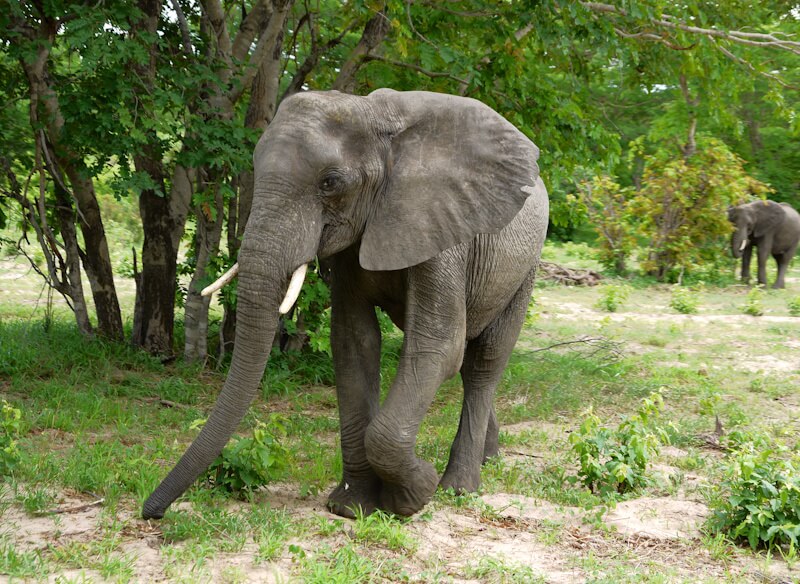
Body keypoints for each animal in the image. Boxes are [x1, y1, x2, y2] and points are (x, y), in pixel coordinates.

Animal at [141, 88, 549, 520]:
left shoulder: (439, 230)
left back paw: (459, 487)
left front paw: (415, 492)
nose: (152, 512)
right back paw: (490, 458)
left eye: (330, 183)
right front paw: (351, 507)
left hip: (528, 263)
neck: (373, 113)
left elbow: (437, 347)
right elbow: (354, 341)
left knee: (484, 361)